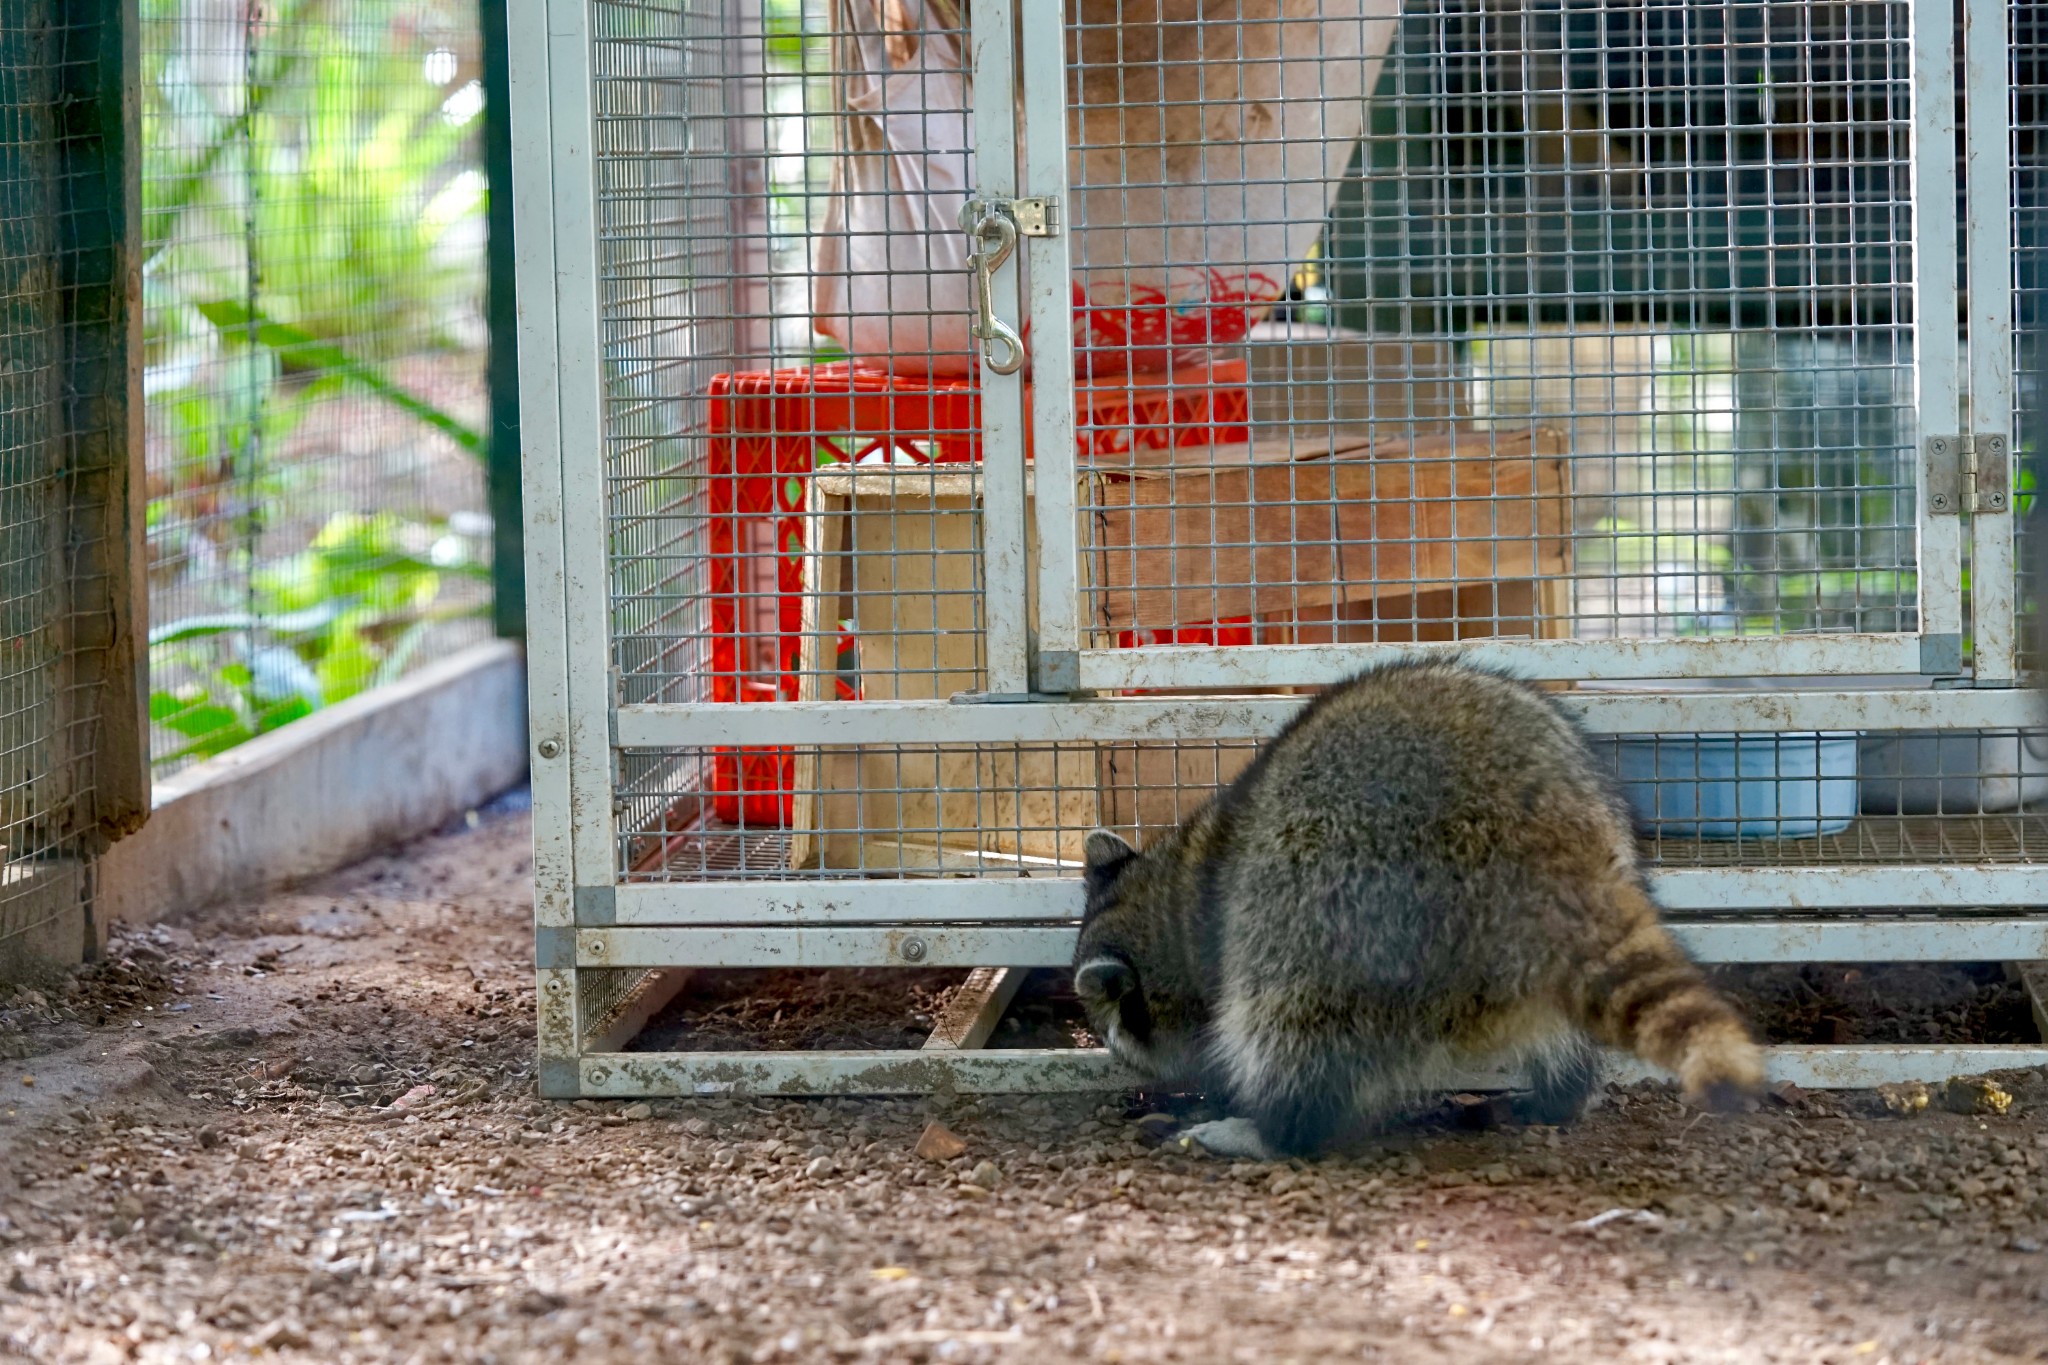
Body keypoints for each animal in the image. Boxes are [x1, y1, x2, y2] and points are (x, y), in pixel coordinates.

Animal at [1081, 654, 1769, 1162]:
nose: (1115, 1060)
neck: (1178, 895)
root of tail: (1542, 836)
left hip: (1338, 894)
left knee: (1289, 1013)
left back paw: (1277, 1129)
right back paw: (1560, 1094)